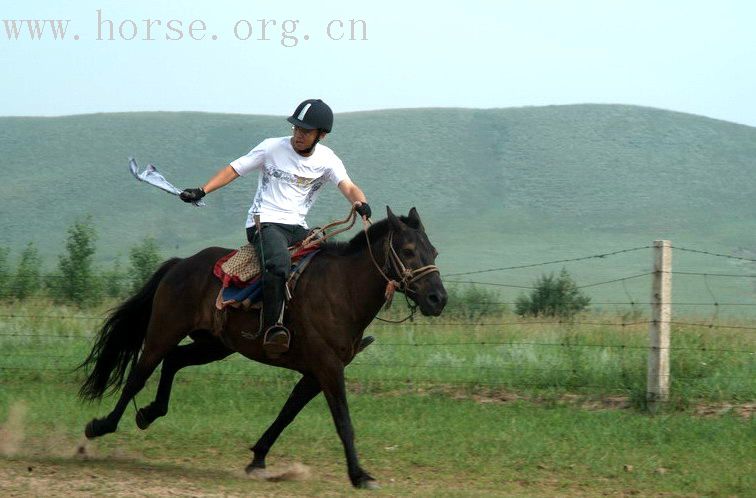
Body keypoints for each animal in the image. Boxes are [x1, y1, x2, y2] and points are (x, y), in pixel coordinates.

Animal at [78, 207, 442, 490]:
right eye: (408, 250)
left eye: (434, 252)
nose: (438, 299)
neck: (342, 290)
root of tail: (182, 263)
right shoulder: (328, 368)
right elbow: (343, 421)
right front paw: (360, 475)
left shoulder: (316, 372)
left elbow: (287, 413)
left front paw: (258, 458)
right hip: (163, 332)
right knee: (138, 377)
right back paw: (101, 426)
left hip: (214, 345)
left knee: (174, 361)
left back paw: (149, 413)